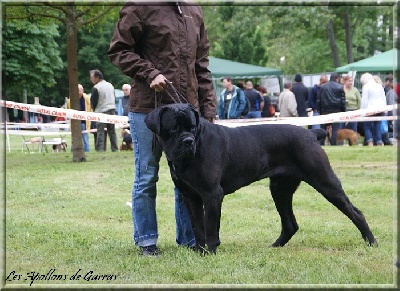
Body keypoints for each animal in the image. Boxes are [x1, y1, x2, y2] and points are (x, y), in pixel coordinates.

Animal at [145, 104, 376, 254]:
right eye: (173, 128)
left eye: (192, 127)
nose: (188, 141)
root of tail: (310, 134)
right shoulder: (190, 196)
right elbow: (197, 226)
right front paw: (200, 251)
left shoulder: (212, 194)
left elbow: (210, 226)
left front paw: (209, 252)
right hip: (280, 189)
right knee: (290, 224)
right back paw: (274, 247)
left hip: (325, 182)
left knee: (356, 212)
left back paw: (371, 242)